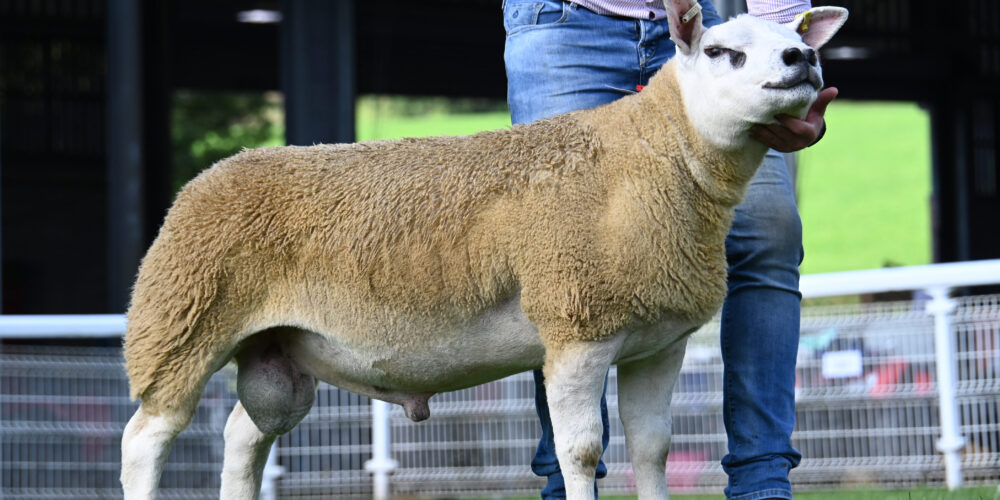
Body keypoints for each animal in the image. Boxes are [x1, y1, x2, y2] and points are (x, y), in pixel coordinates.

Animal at [120, 2, 848, 499]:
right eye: (724, 51)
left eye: (793, 40)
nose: (802, 62)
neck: (653, 156)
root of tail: (211, 177)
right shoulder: (577, 325)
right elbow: (582, 453)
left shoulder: (658, 341)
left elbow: (652, 450)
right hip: (180, 325)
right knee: (144, 441)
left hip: (274, 352)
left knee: (242, 438)